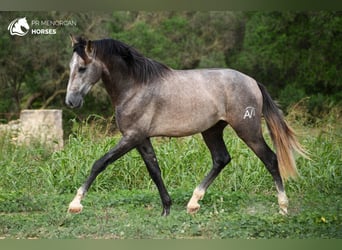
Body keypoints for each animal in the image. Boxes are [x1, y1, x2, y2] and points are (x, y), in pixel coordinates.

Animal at [65, 35, 306, 217]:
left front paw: (75, 204)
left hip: (248, 130)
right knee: (221, 159)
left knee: (271, 159)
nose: (71, 101)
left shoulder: (131, 136)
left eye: (83, 68)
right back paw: (193, 203)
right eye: (71, 67)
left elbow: (100, 163)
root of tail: (253, 81)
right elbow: (154, 170)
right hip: (212, 130)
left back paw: (283, 207)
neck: (135, 87)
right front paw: (166, 209)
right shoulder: (141, 138)